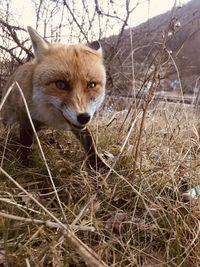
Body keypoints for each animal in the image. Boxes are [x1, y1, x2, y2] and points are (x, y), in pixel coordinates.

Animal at [1, 27, 108, 170]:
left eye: (92, 85)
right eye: (61, 84)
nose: (84, 117)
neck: (52, 119)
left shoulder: (79, 124)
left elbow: (90, 143)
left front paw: (98, 165)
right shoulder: (26, 118)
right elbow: (25, 146)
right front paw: (25, 168)